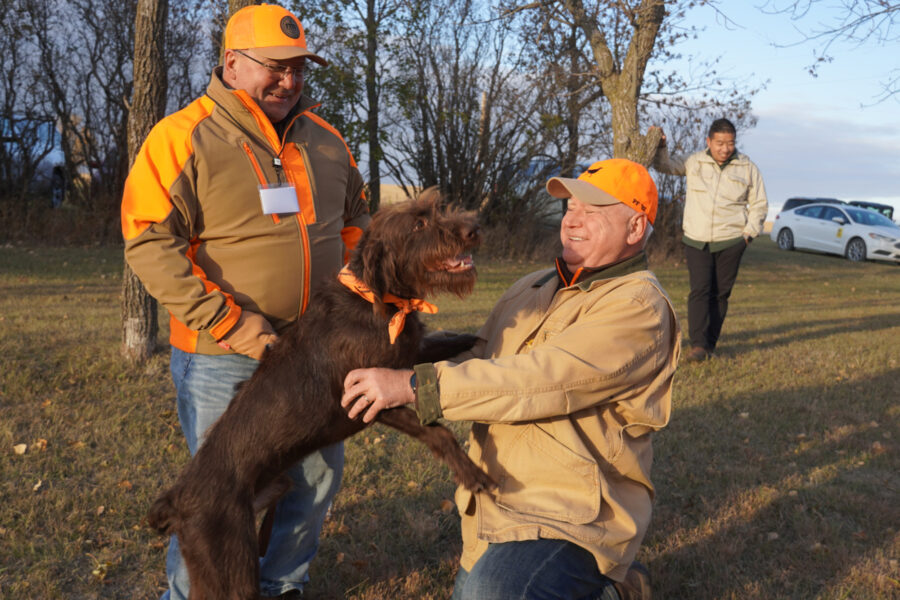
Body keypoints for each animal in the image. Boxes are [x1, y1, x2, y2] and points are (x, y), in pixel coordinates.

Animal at [150, 195, 496, 600]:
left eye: (437, 208)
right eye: (418, 224)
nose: (474, 228)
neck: (376, 298)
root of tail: (176, 500)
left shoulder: (404, 360)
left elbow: (439, 346)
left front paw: (473, 340)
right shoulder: (367, 398)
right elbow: (437, 432)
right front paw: (472, 474)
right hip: (230, 565)